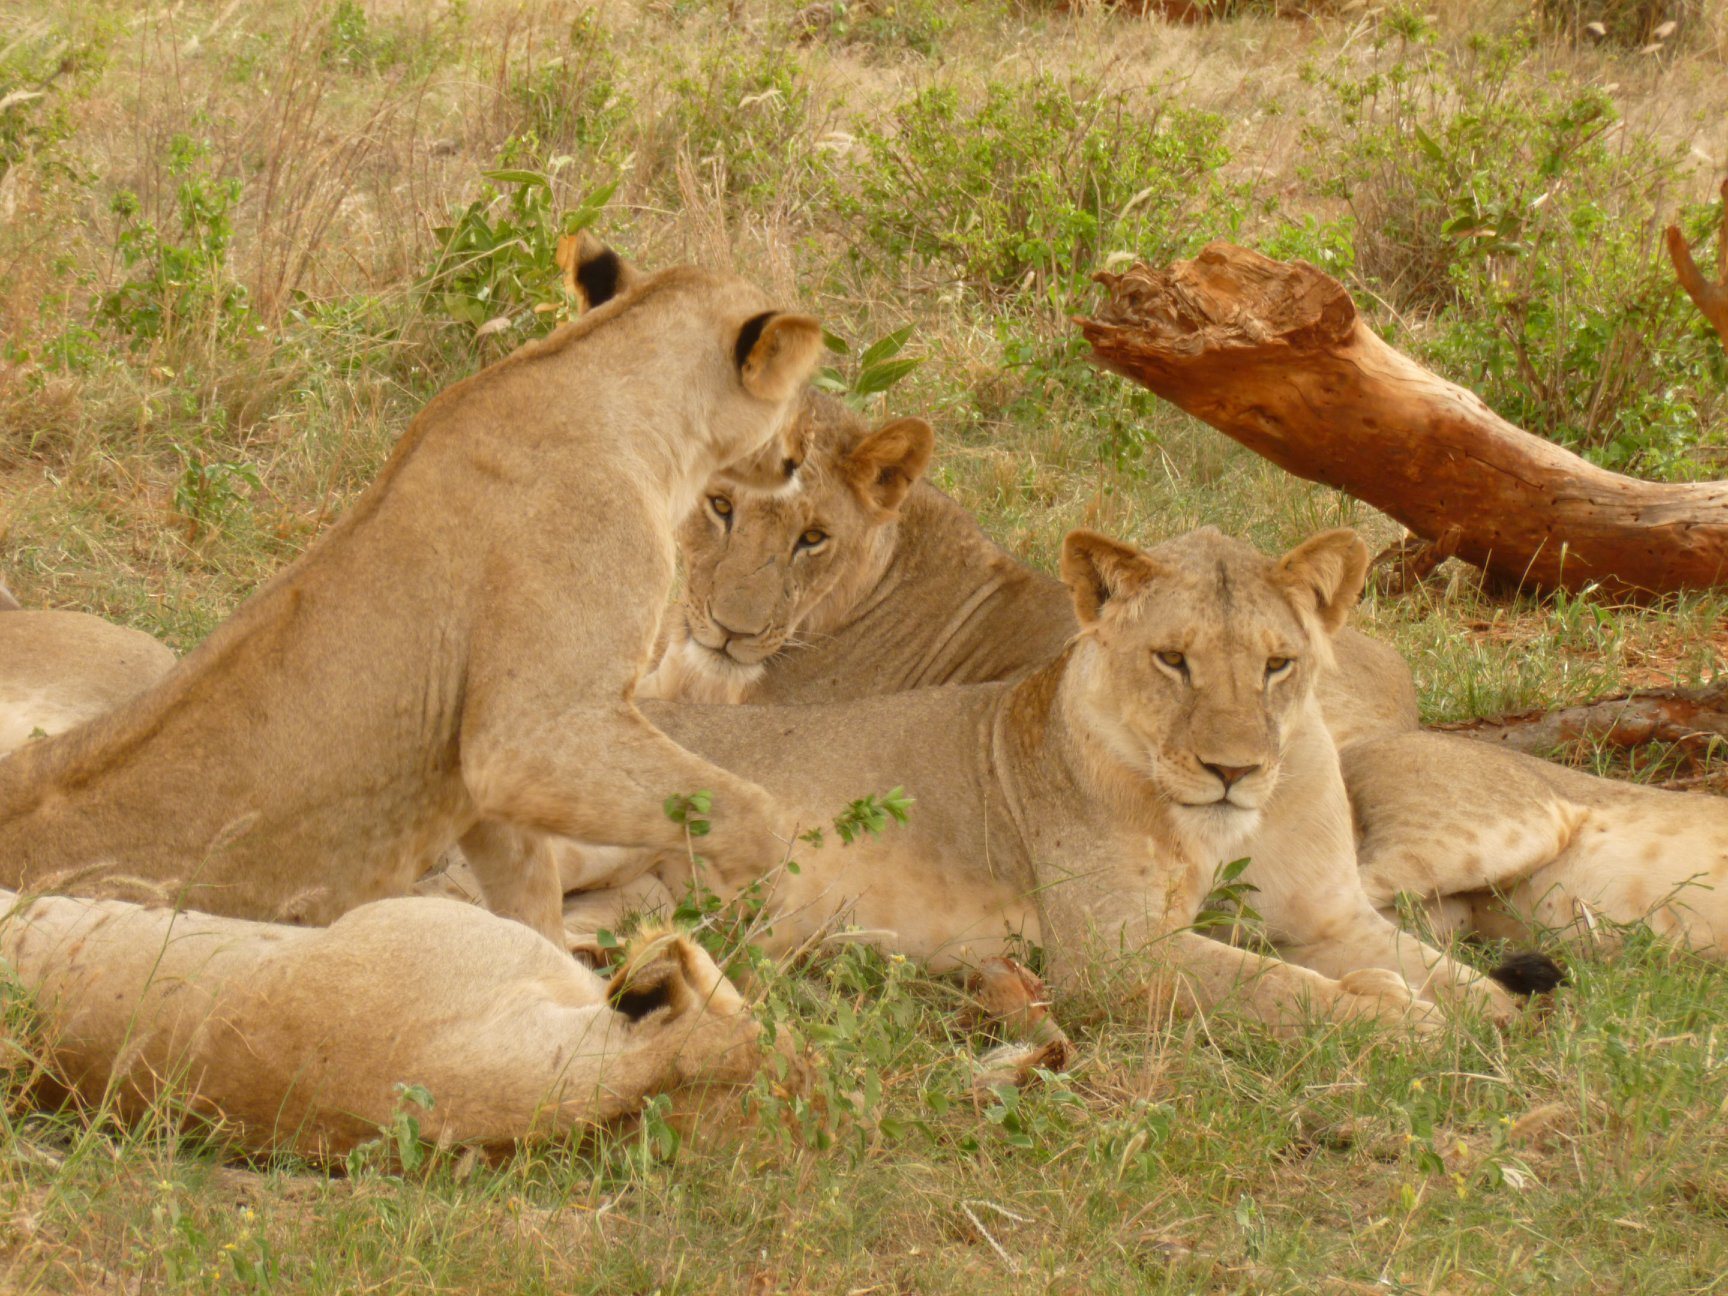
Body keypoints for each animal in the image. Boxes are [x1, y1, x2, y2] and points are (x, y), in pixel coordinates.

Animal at [0, 237, 823, 942]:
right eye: (801, 394)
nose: (800, 453)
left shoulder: (484, 780)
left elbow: (532, 893)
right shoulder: (530, 734)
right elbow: (750, 807)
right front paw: (763, 897)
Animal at [621, 525, 1546, 1032]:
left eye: (1278, 665)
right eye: (1172, 660)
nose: (1233, 770)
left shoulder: (1329, 915)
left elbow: (1447, 974)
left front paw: (1487, 1013)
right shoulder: (1116, 954)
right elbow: (1277, 990)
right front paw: (1397, 1021)